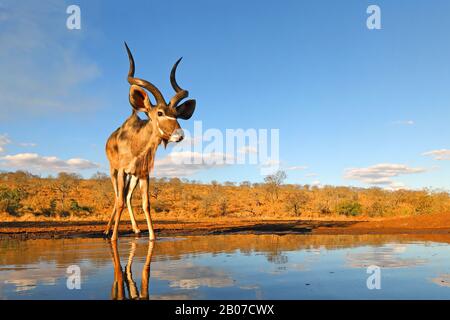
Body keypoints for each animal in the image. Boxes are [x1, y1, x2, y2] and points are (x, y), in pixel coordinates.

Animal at [106, 43, 198, 241]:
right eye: (160, 113)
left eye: (177, 114)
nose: (179, 135)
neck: (136, 146)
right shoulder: (122, 171)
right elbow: (119, 201)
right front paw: (114, 237)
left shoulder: (144, 174)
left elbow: (146, 204)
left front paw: (152, 236)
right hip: (114, 171)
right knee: (118, 197)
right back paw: (107, 230)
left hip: (132, 177)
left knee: (127, 197)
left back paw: (136, 229)